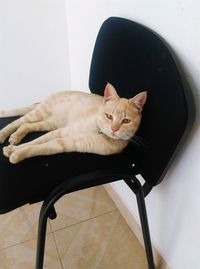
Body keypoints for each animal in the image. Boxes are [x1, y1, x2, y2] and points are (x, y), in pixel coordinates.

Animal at [0, 82, 147, 163]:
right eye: (109, 116)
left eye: (126, 121)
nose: (114, 129)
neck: (98, 131)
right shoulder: (60, 132)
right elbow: (35, 142)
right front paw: (13, 149)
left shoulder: (67, 143)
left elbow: (38, 147)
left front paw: (17, 153)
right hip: (40, 113)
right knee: (17, 122)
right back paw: (5, 135)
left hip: (50, 123)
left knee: (26, 125)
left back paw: (16, 137)